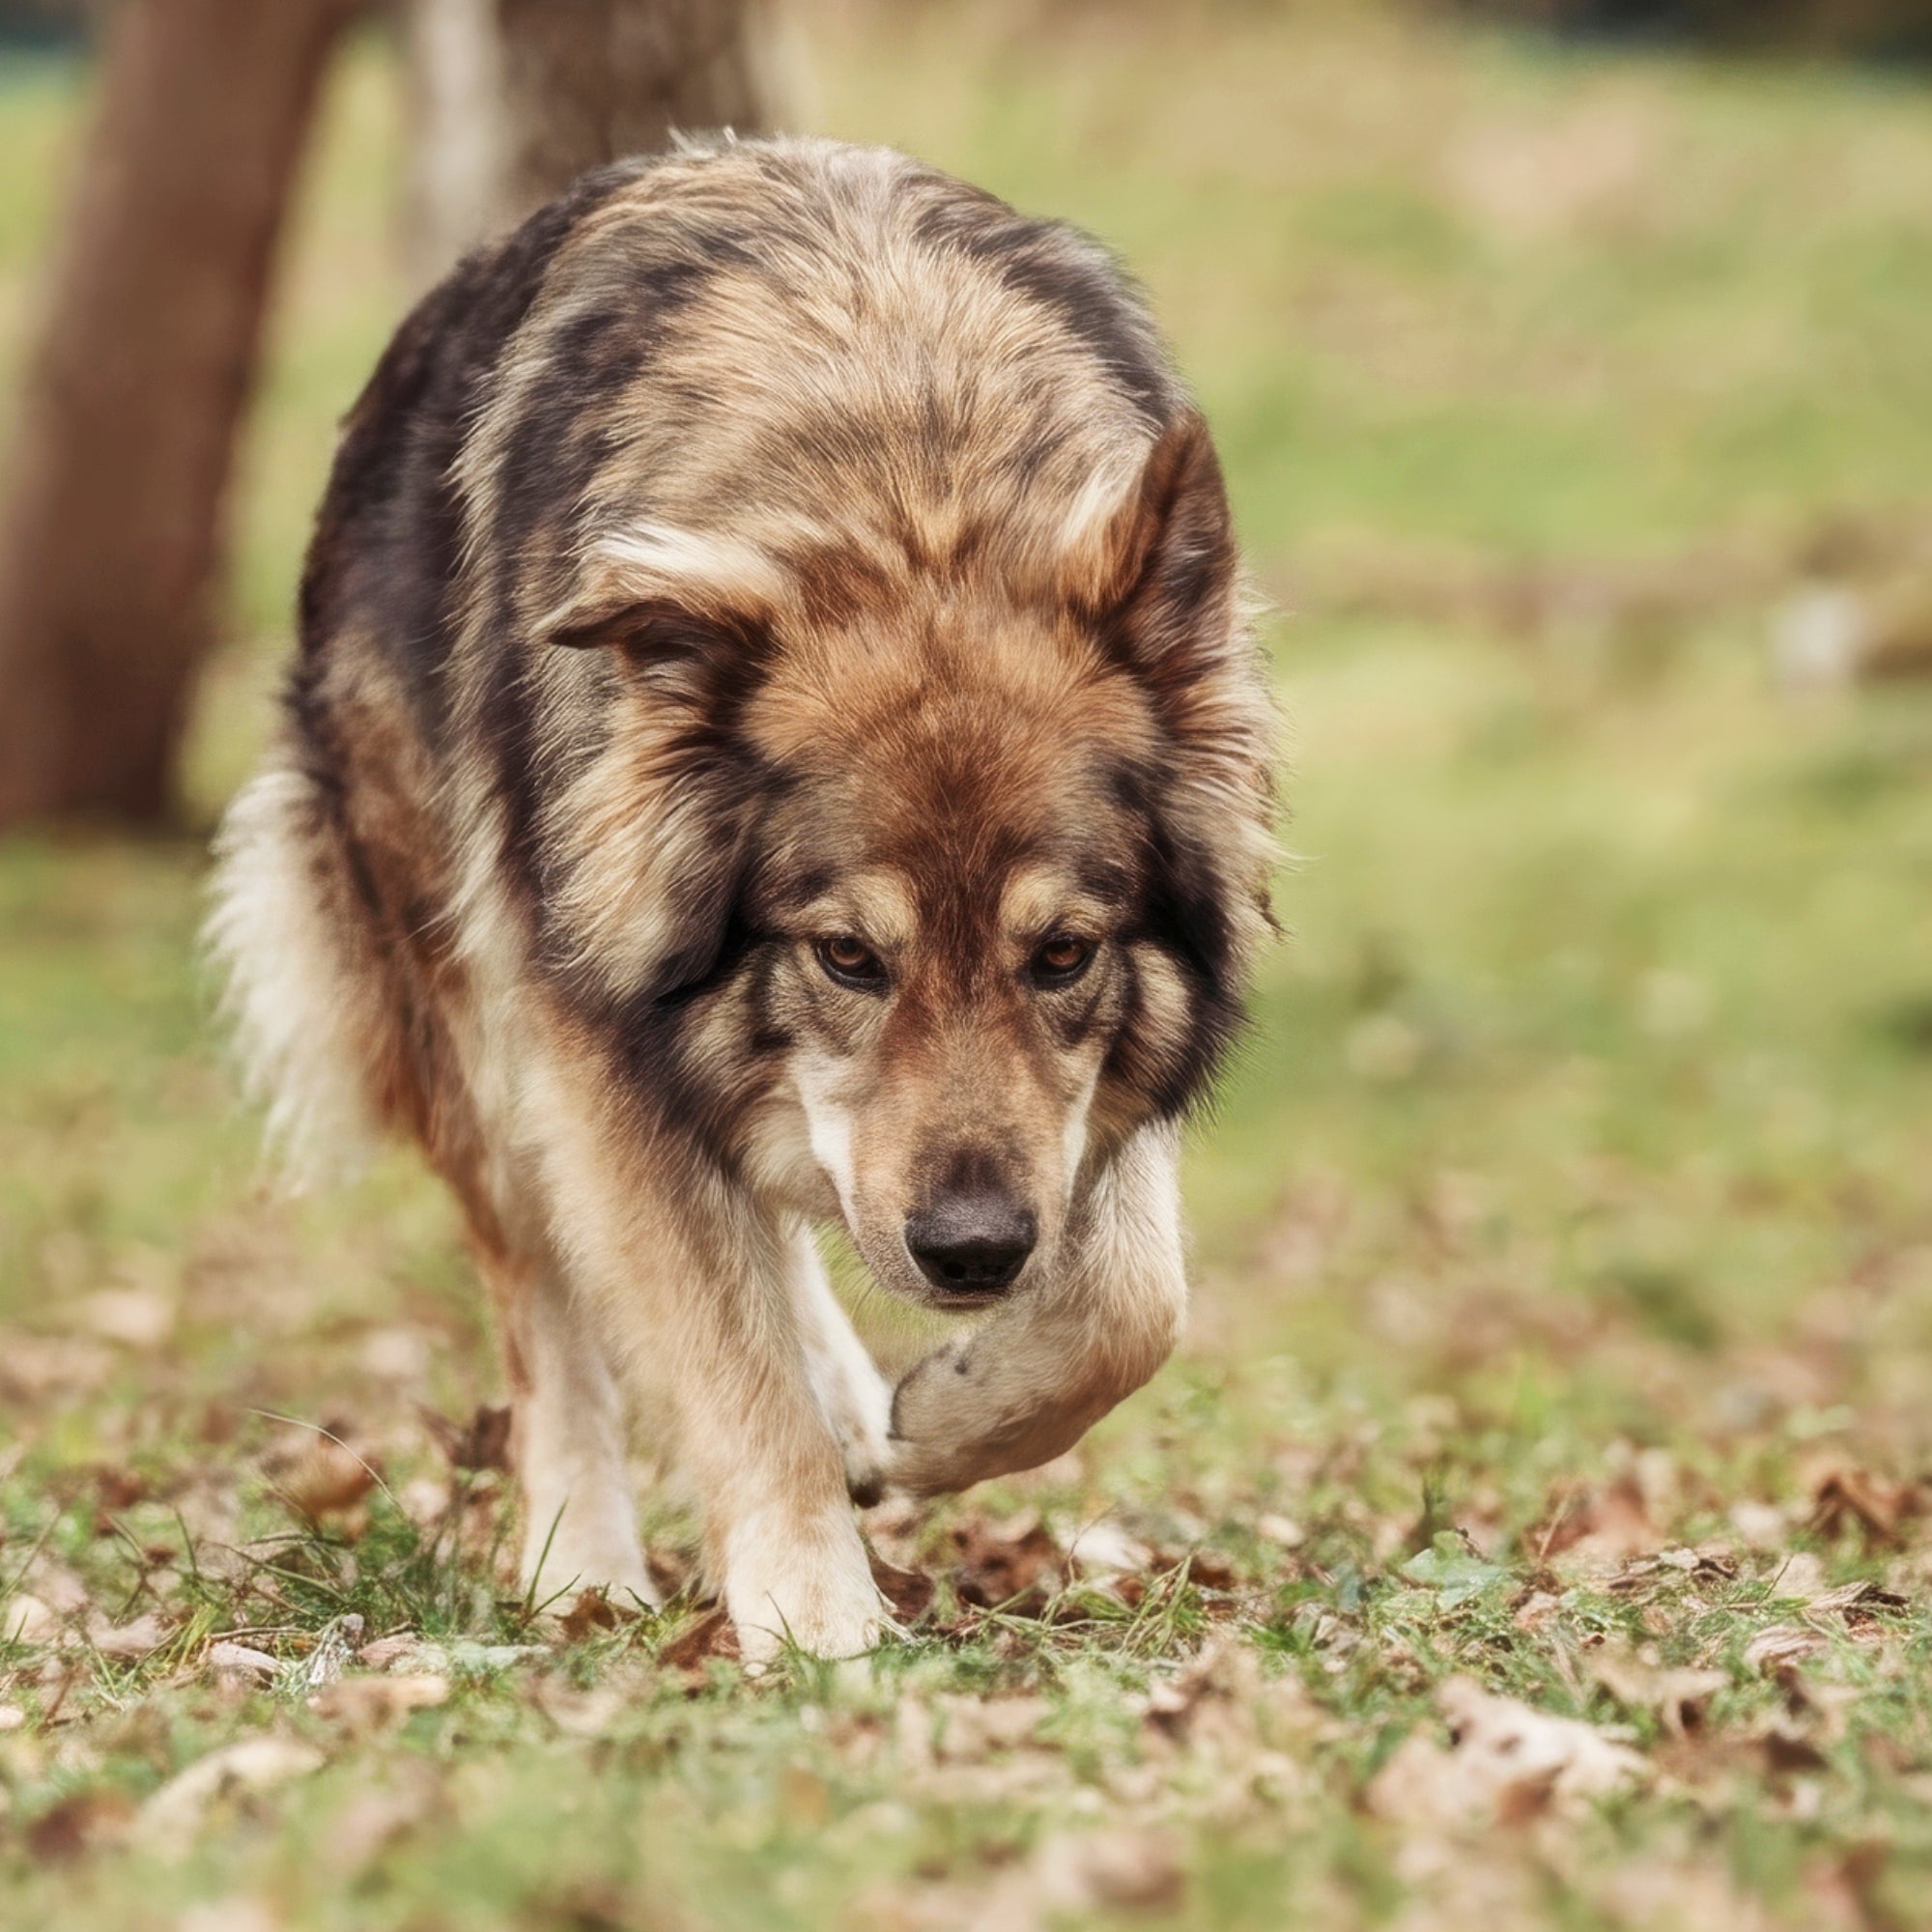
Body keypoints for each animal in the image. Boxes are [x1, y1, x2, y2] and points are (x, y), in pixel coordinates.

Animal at [208, 136, 1275, 1659]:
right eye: (847, 956)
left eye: (1064, 954)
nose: (970, 1253)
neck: (903, 469)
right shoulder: (603, 1050)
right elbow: (724, 1363)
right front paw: (819, 1629)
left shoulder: (1084, 1114)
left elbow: (1133, 1300)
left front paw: (949, 1419)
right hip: (480, 1035)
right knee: (547, 1307)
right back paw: (581, 1565)